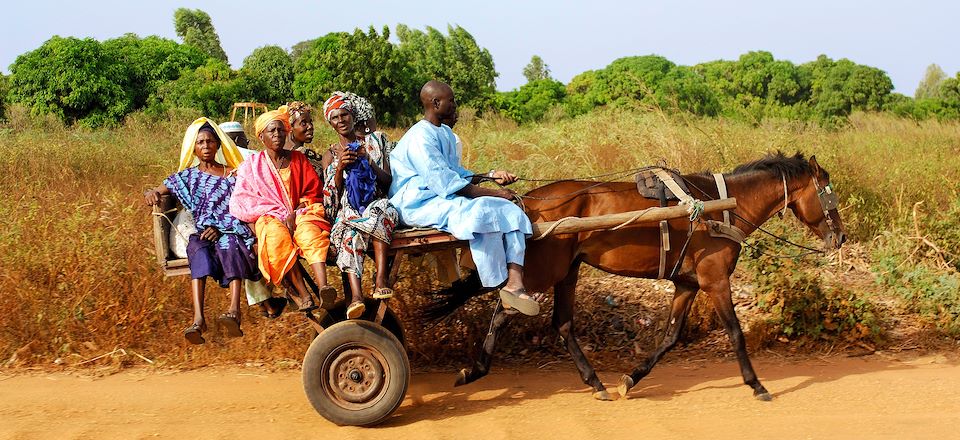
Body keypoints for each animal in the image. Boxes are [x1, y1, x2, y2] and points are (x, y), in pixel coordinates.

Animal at [424, 152, 844, 402]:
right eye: (828, 193)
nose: (839, 238)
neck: (720, 208)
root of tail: (528, 203)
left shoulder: (688, 283)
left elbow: (671, 337)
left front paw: (631, 378)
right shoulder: (714, 280)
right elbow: (736, 334)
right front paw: (756, 384)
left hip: (568, 271)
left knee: (562, 324)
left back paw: (594, 382)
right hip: (546, 270)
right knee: (506, 309)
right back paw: (474, 371)